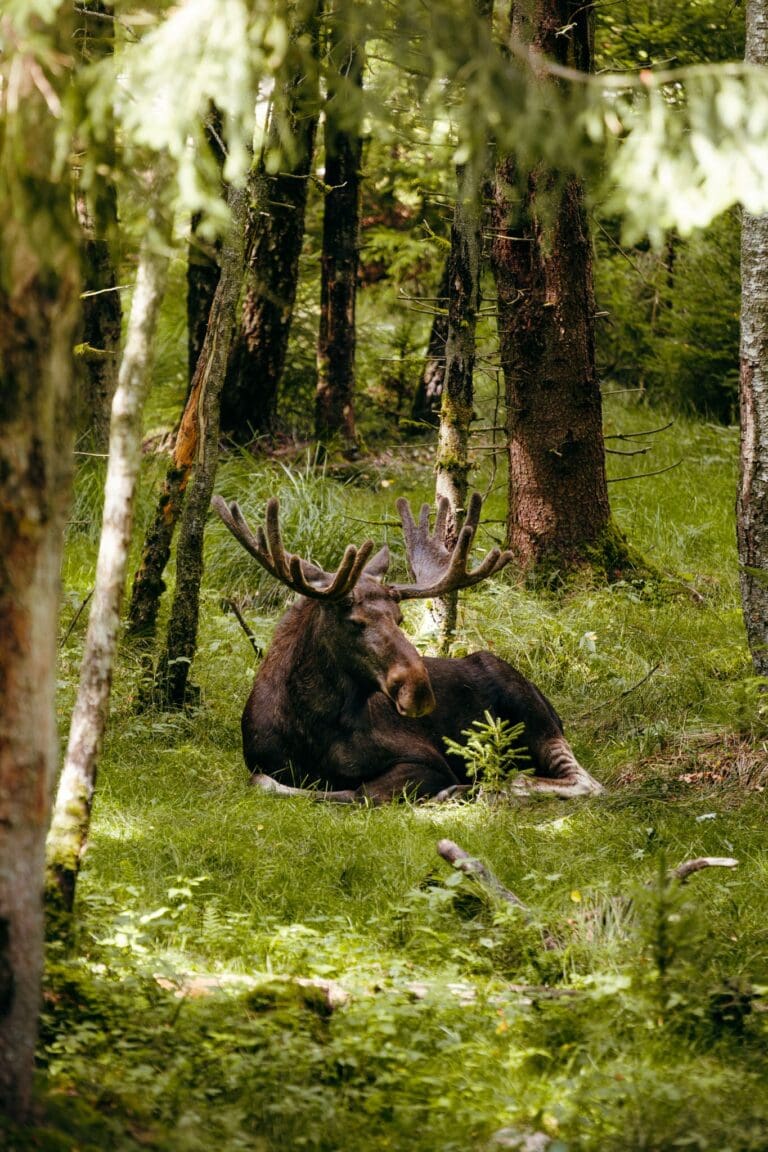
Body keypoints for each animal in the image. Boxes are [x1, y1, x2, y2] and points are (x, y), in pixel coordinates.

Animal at [211, 492, 603, 804]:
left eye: (399, 618)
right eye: (354, 622)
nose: (419, 689)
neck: (310, 727)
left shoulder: (425, 760)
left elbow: (359, 793)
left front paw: (453, 789)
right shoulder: (261, 763)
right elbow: (264, 782)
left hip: (533, 715)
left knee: (577, 781)